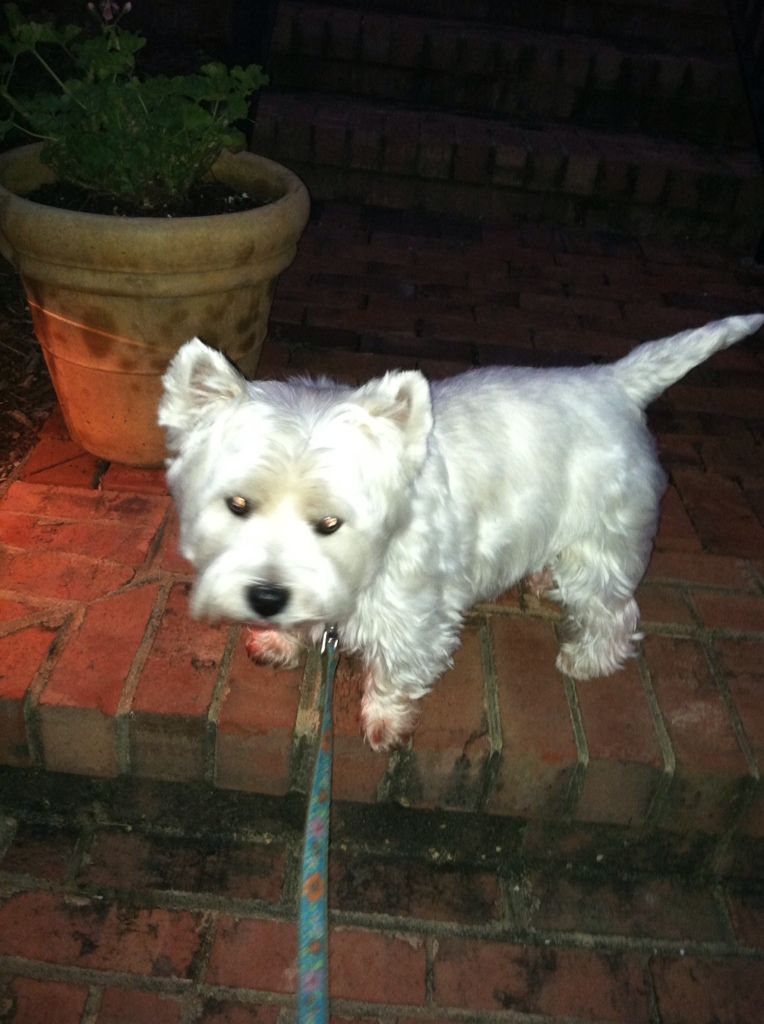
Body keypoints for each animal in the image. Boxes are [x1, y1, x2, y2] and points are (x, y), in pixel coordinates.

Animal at [157, 311, 757, 753]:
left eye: (330, 523)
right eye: (238, 504)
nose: (266, 597)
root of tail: (613, 382)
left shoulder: (413, 611)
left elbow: (397, 668)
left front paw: (385, 722)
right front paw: (278, 638)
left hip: (601, 540)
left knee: (613, 610)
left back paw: (587, 659)